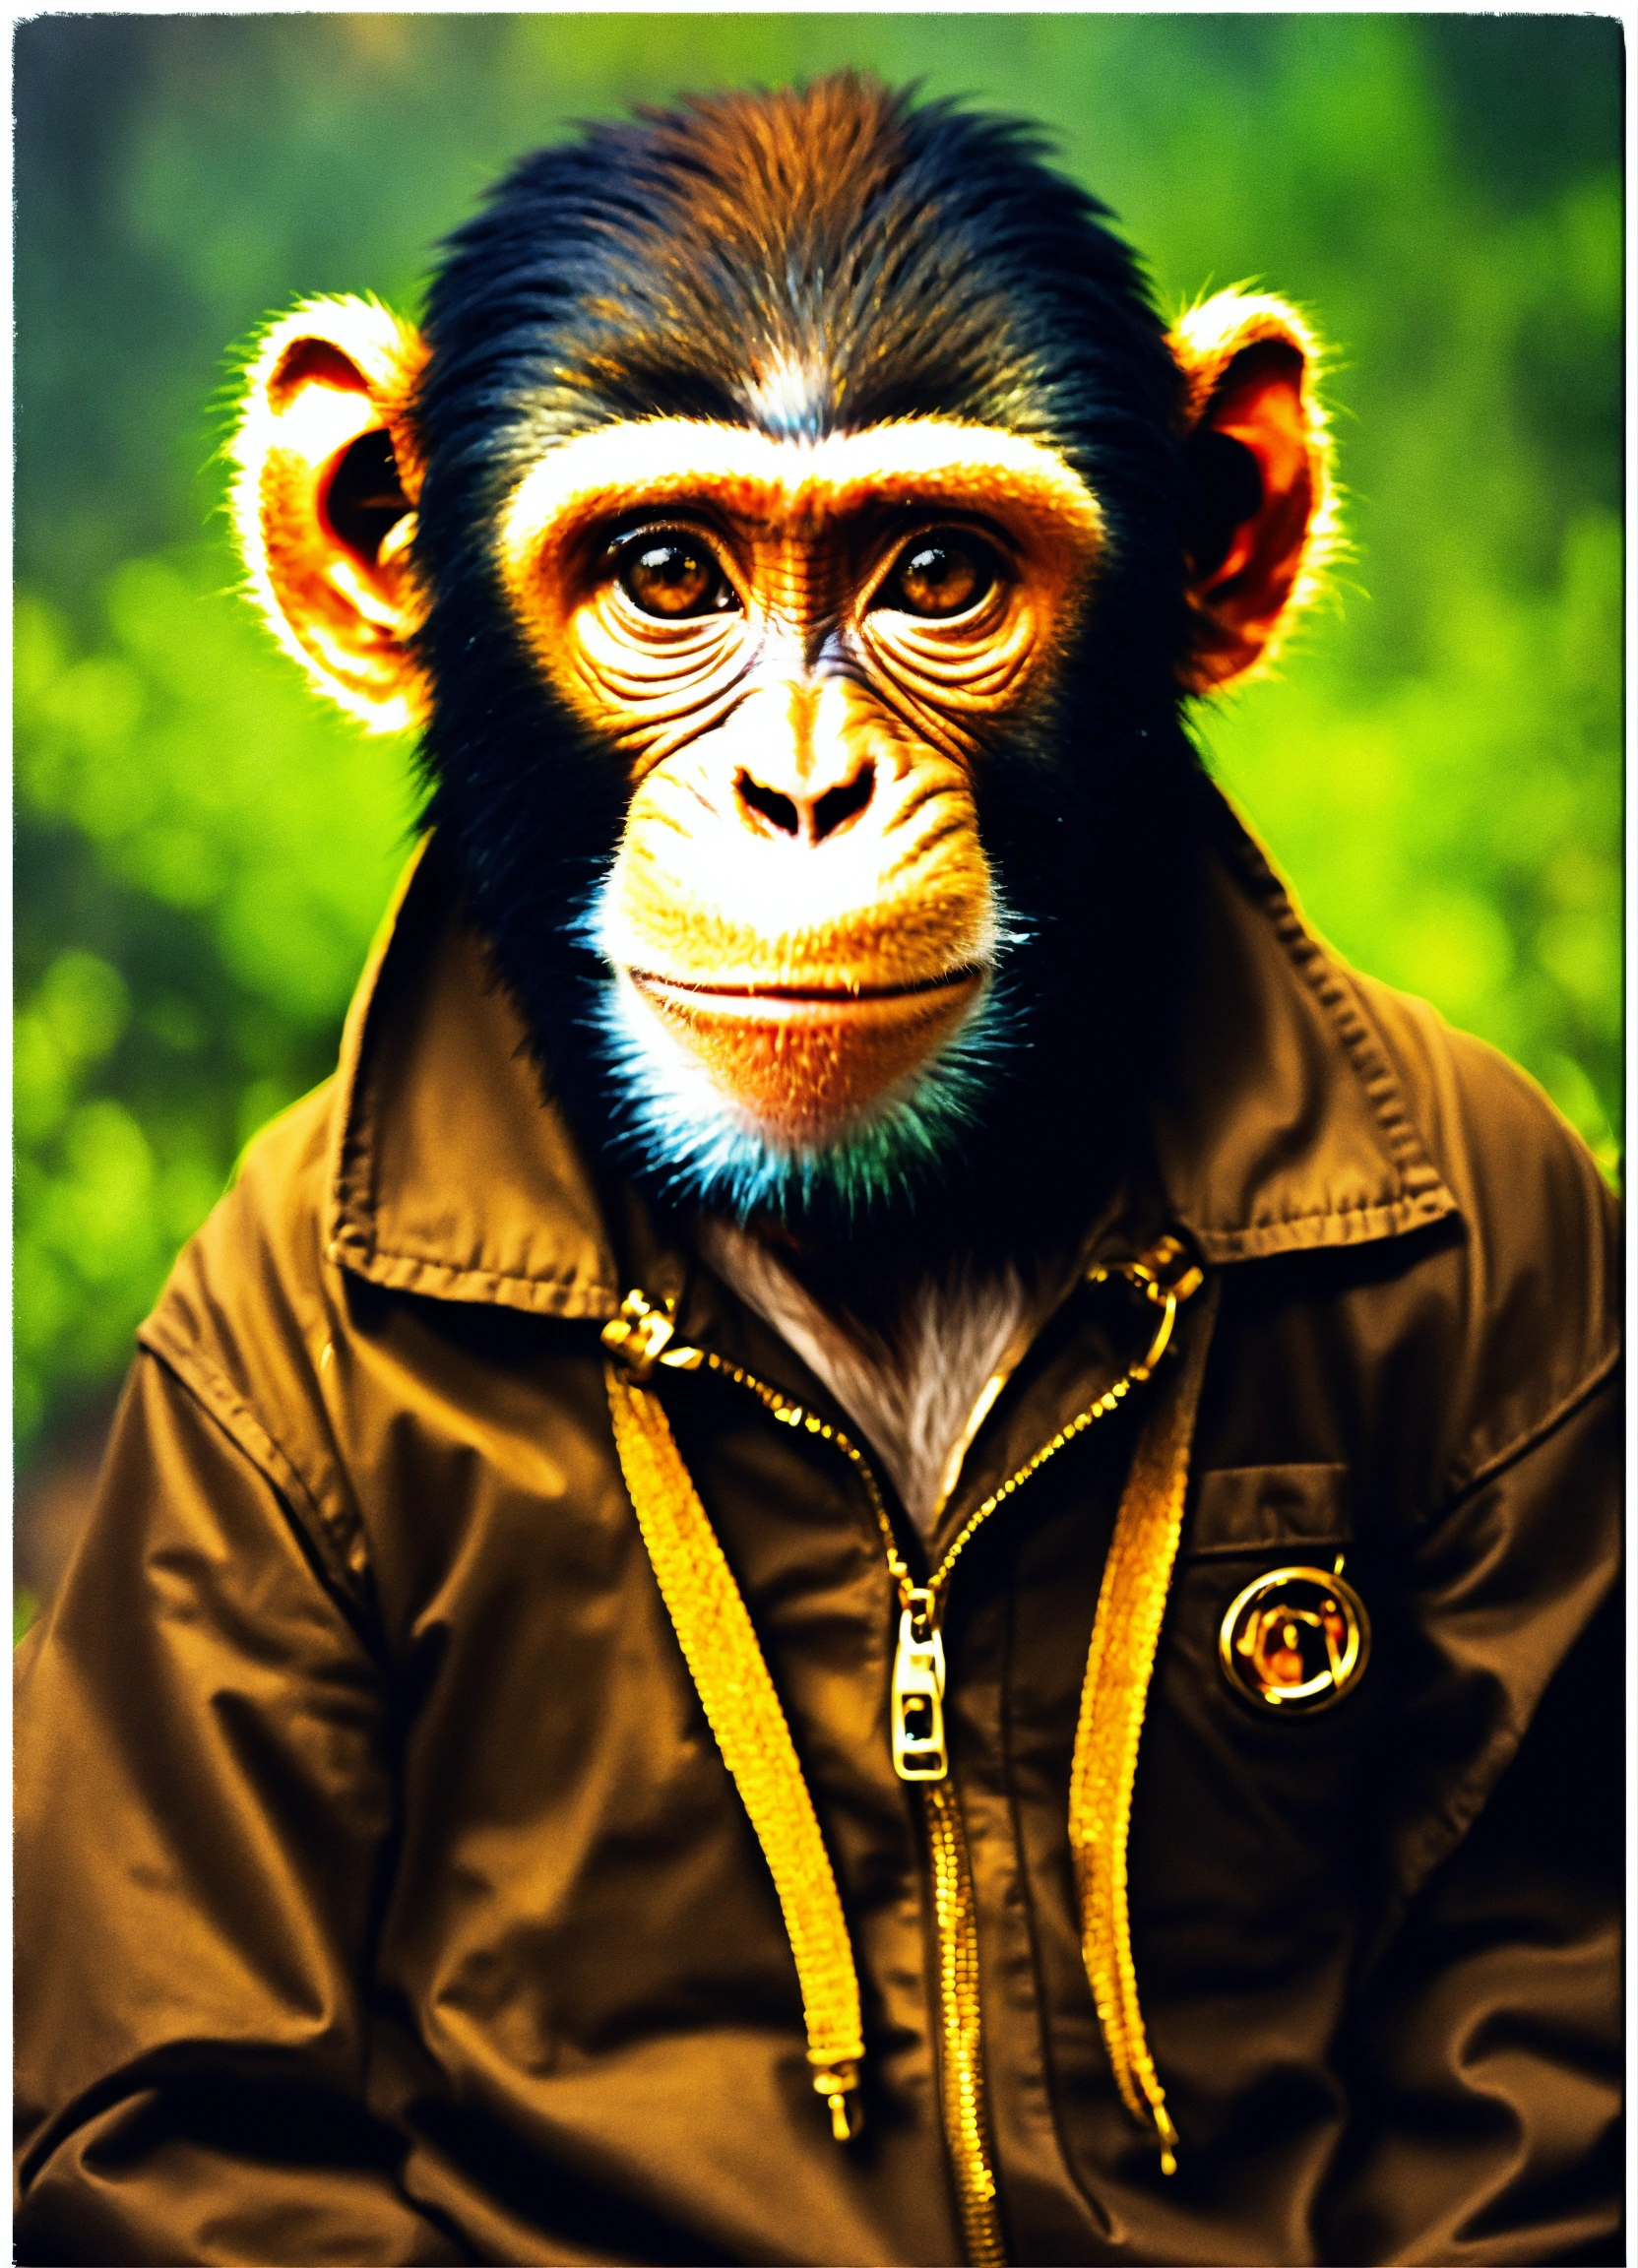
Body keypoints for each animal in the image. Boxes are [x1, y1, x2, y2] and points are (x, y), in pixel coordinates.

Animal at [14, 76, 1618, 2268]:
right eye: (666, 574)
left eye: (937, 571)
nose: (799, 789)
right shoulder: (223, 1371)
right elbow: (191, 2082)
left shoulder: (1540, 1287)